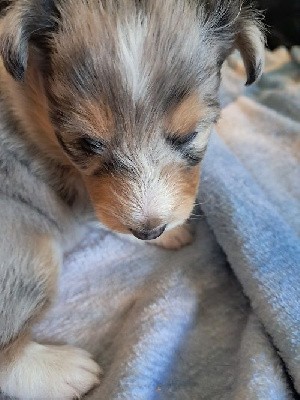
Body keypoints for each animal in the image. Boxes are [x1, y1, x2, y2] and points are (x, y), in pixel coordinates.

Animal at [0, 1, 262, 398]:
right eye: (87, 143)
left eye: (189, 135)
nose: (151, 230)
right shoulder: (82, 195)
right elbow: (111, 219)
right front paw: (165, 233)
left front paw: (167, 231)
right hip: (29, 248)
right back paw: (66, 371)